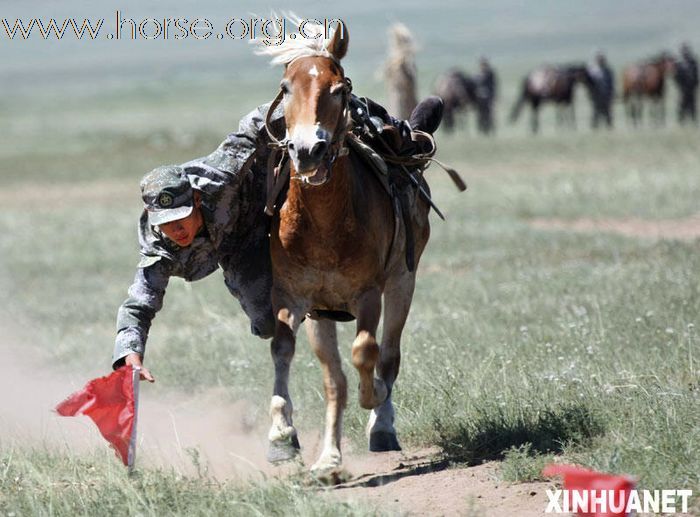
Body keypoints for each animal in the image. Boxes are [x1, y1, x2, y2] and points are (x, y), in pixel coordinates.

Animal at [256, 23, 432, 476]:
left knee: (389, 354)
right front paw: (308, 450)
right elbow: (317, 371)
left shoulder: (368, 295)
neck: (324, 224)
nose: (307, 150)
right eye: (286, 87)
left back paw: (382, 424)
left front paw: (375, 399)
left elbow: (365, 352)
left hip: (403, 283)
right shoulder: (300, 301)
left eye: (338, 89)